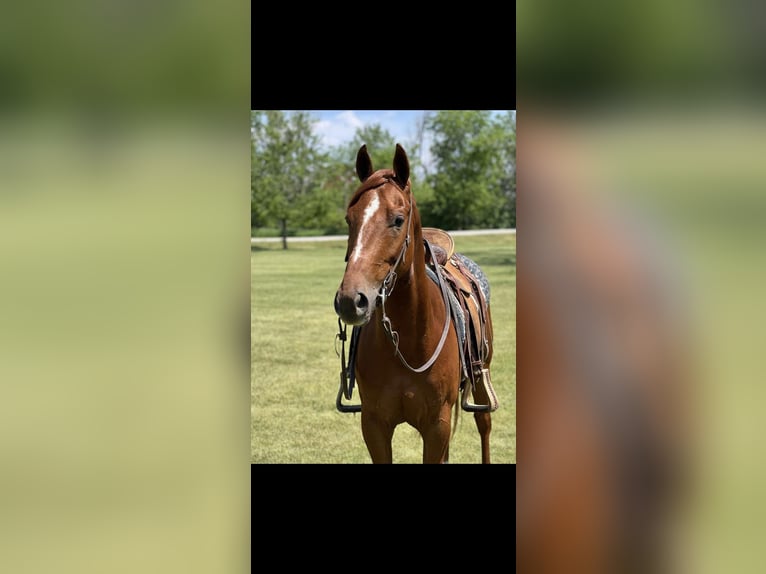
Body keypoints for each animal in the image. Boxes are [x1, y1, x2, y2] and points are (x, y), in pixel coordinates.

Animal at [332, 145, 496, 468]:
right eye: (349, 219)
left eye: (398, 219)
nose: (350, 300)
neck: (408, 340)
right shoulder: (374, 424)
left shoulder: (436, 425)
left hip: (482, 374)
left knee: (484, 425)